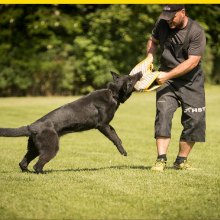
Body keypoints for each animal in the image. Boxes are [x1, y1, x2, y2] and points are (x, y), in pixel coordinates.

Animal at [0, 72, 143, 174]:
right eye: (131, 79)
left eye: (130, 76)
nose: (140, 72)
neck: (112, 94)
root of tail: (32, 126)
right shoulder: (102, 126)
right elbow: (114, 138)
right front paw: (123, 152)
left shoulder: (108, 125)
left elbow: (116, 136)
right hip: (51, 148)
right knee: (37, 165)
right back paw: (42, 173)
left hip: (35, 148)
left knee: (23, 163)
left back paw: (27, 171)